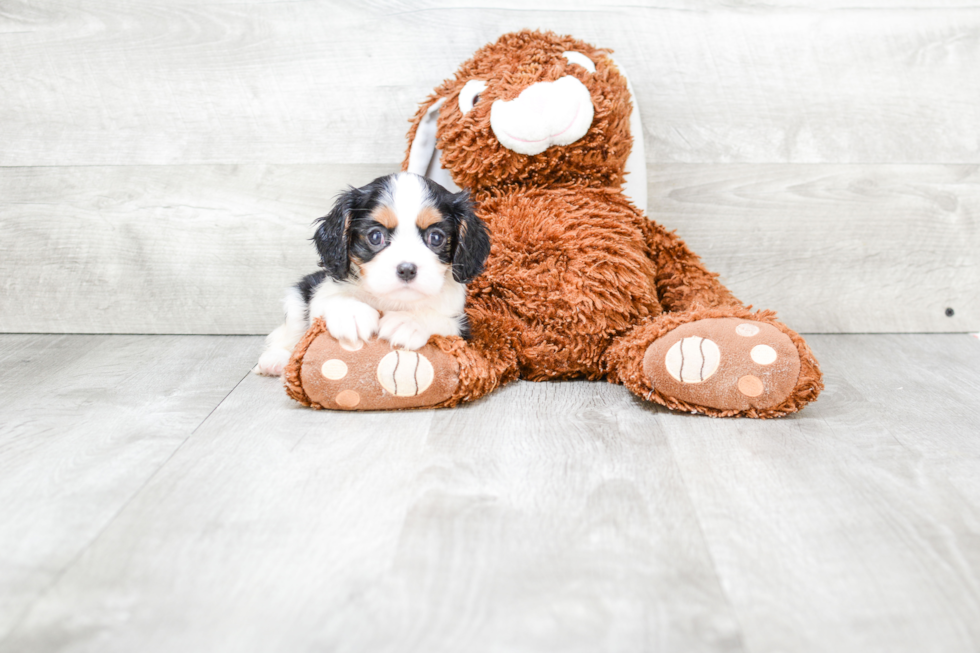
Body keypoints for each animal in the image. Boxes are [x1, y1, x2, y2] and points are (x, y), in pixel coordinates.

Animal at [255, 172, 488, 376]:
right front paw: (351, 313)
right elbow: (329, 299)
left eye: (436, 238)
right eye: (375, 236)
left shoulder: (462, 327)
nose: (407, 269)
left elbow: (441, 321)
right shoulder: (321, 291)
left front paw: (409, 321)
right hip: (297, 297)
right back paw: (276, 359)